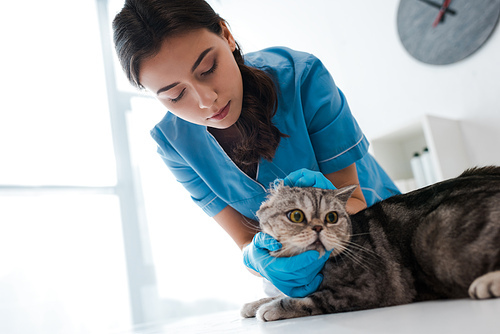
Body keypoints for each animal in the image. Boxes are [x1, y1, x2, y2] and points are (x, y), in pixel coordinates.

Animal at [240, 166, 498, 320]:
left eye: (331, 217)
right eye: (296, 216)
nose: (318, 228)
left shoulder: (366, 291)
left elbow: (309, 300)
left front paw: (270, 308)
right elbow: (279, 292)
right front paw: (254, 303)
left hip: (432, 237)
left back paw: (487, 283)